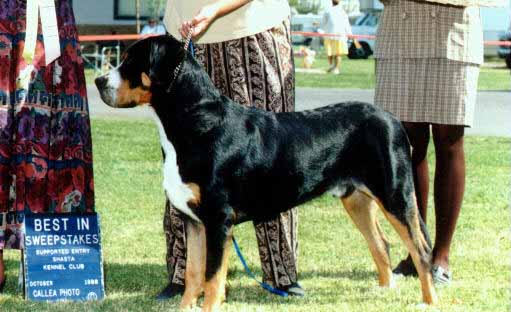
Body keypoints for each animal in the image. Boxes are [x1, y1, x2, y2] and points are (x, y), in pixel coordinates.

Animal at [94, 35, 438, 310]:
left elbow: (212, 277)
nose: (98, 82)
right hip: (356, 199)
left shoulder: (218, 219)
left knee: (421, 250)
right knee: (381, 244)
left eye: (131, 61)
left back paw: (429, 301)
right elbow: (192, 273)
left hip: (395, 195)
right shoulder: (195, 221)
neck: (195, 122)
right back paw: (384, 291)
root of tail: (391, 118)